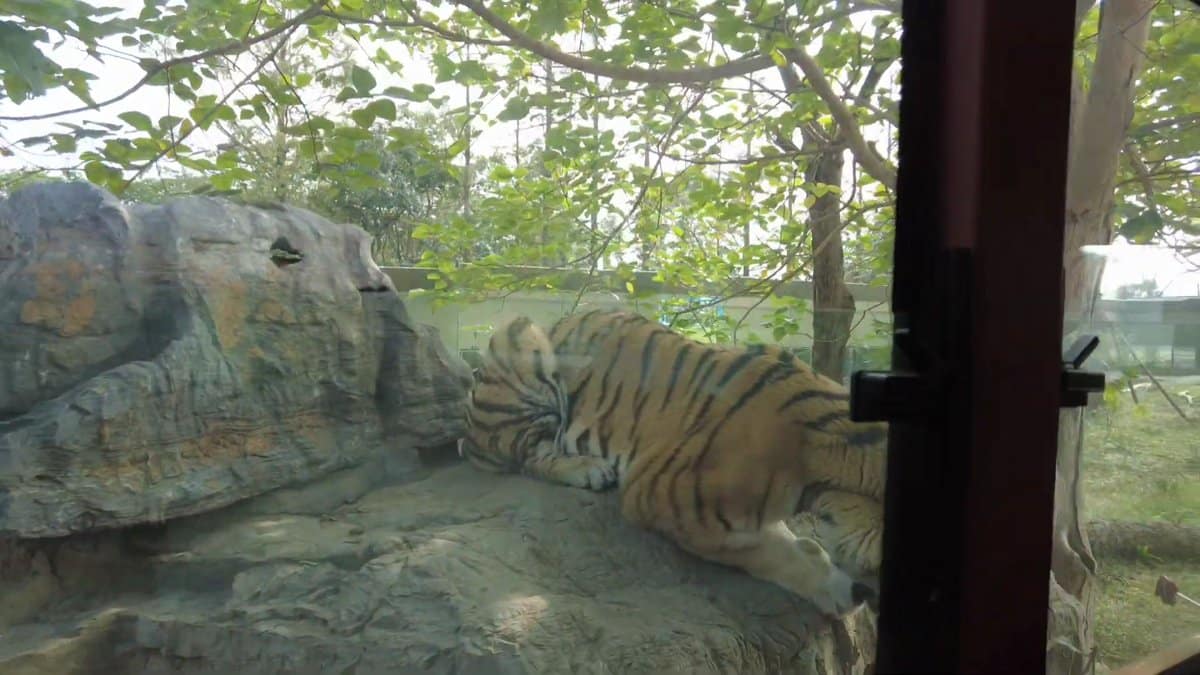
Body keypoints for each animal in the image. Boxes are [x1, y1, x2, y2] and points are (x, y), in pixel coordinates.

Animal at [458, 309, 886, 618]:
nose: (870, 597)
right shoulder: (662, 502)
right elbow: (765, 553)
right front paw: (833, 589)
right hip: (518, 336)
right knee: (528, 455)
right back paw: (586, 468)